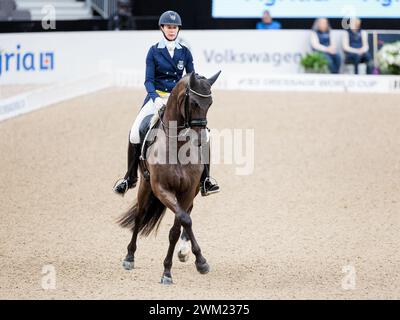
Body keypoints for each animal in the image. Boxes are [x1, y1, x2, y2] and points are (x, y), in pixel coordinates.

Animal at [118, 71, 222, 284]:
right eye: (194, 103)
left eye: (210, 103)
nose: (200, 139)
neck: (178, 145)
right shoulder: (161, 189)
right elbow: (183, 220)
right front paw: (179, 267)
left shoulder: (188, 191)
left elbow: (179, 226)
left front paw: (184, 265)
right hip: (145, 186)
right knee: (140, 215)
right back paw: (129, 257)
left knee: (187, 213)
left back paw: (183, 251)